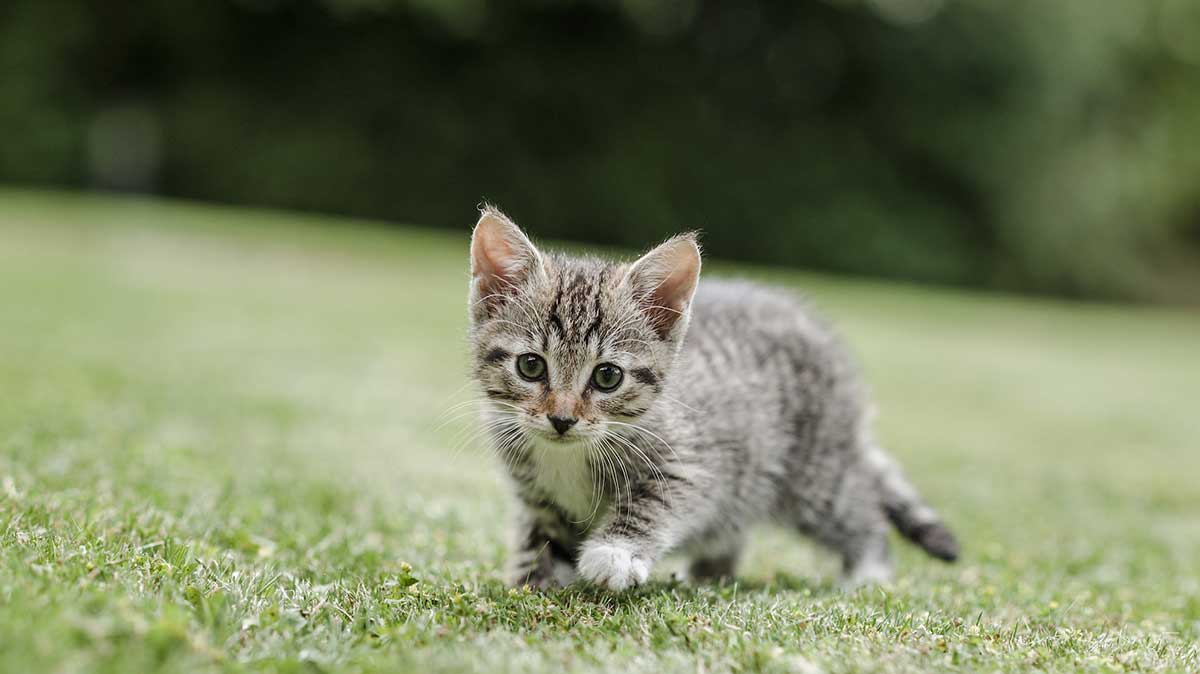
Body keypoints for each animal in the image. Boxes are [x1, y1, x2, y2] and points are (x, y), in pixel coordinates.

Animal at [463, 205, 960, 587]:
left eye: (607, 376)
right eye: (531, 366)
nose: (562, 419)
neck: (568, 455)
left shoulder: (693, 462)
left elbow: (657, 503)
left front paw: (616, 553)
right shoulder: (536, 495)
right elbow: (539, 538)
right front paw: (534, 583)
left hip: (813, 472)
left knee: (859, 509)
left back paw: (868, 572)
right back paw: (710, 574)